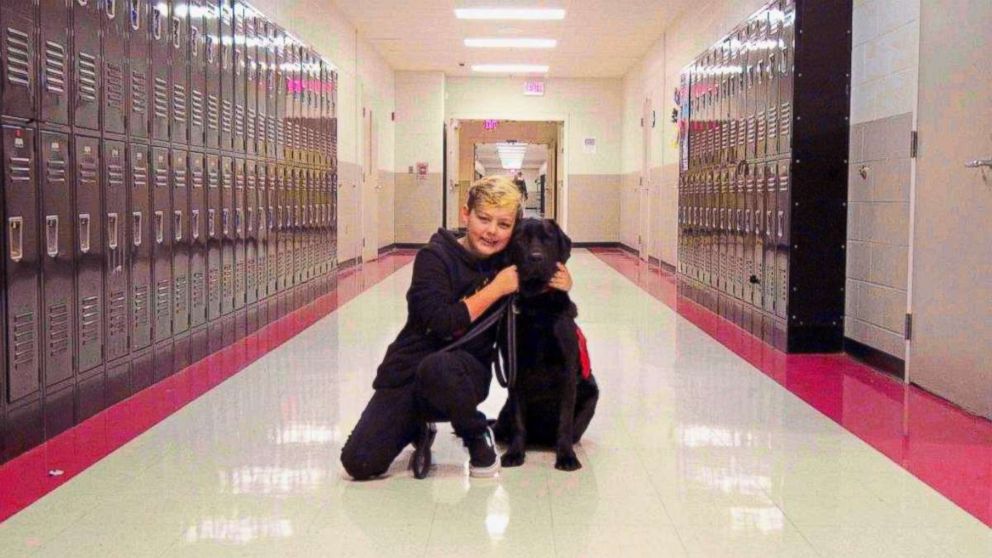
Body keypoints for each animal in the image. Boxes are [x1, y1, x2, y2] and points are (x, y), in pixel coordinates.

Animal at [494, 219, 596, 472]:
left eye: (548, 238)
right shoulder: (514, 370)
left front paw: (566, 456)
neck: (536, 306)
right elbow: (519, 421)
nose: (536, 257)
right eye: (520, 239)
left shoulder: (567, 370)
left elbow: (565, 422)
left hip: (592, 391)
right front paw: (515, 453)